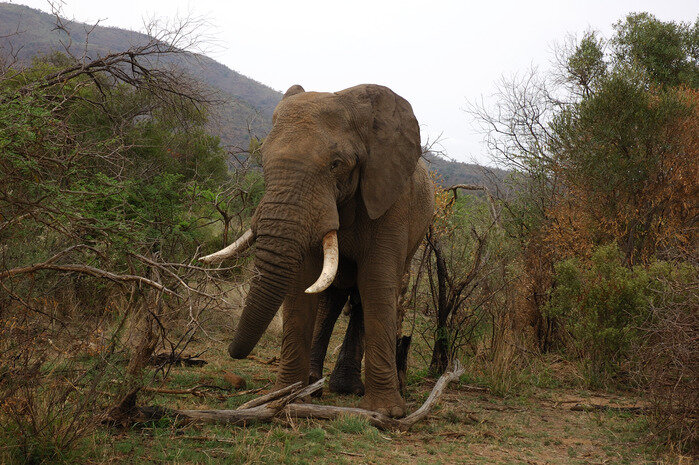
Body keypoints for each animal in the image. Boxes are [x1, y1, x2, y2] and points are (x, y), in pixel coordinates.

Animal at [201, 83, 434, 417]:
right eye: (262, 160)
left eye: (336, 164)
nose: (233, 352)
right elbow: (302, 282)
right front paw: (287, 397)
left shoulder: (391, 200)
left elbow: (376, 282)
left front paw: (387, 412)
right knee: (331, 296)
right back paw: (315, 384)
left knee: (361, 295)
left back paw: (344, 388)